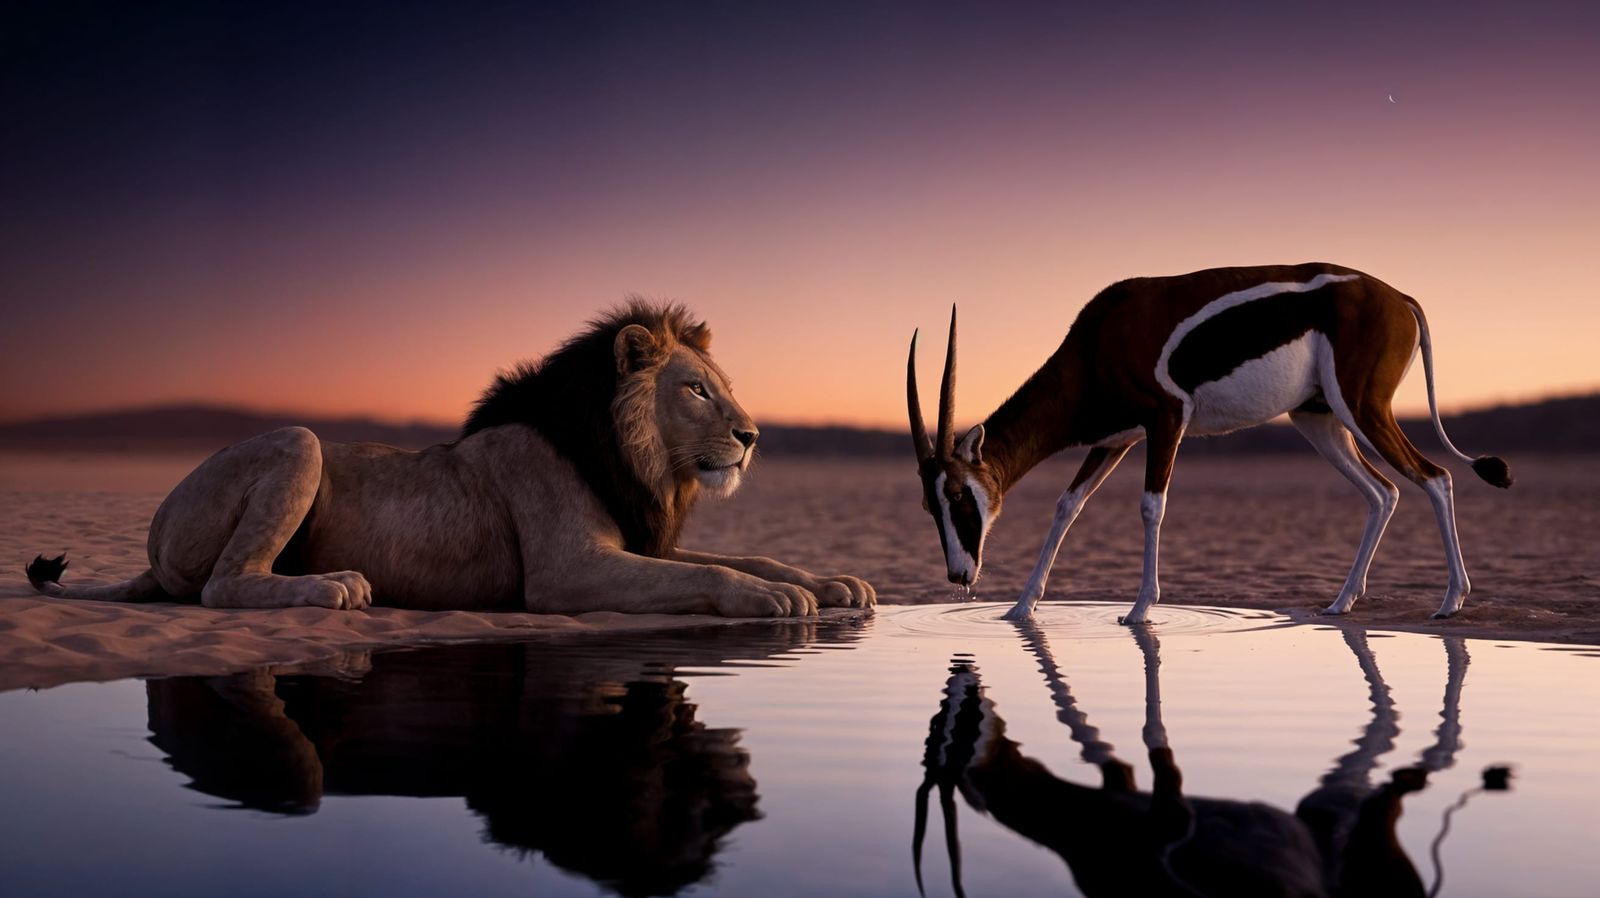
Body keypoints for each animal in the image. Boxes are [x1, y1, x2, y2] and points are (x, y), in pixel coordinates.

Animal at [25, 301, 875, 617]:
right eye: (697, 390)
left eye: (726, 388)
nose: (754, 437)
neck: (641, 465)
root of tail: (152, 535)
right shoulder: (568, 571)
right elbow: (715, 574)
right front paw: (774, 599)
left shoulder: (639, 538)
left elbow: (754, 556)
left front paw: (833, 583)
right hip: (297, 443)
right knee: (223, 587)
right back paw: (332, 587)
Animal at [906, 263, 1513, 623]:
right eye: (927, 505)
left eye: (958, 495)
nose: (959, 576)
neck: (1099, 337)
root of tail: (1399, 296)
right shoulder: (1116, 440)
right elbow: (1067, 506)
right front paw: (1020, 608)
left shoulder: (1166, 420)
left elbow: (1151, 506)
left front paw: (1139, 609)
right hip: (1320, 420)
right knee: (1384, 491)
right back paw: (1341, 603)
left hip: (1362, 409)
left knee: (1435, 477)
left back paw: (1449, 603)